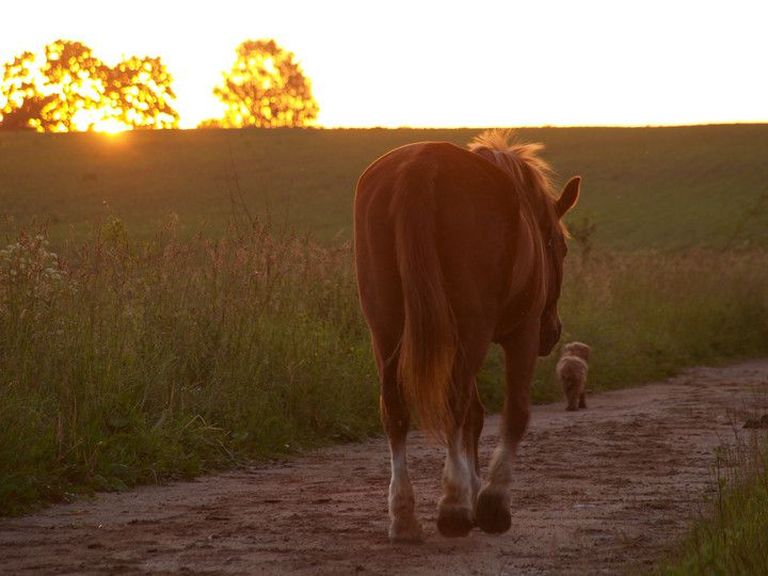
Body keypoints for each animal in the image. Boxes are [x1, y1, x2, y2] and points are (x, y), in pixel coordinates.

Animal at [356, 129, 580, 540]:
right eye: (561, 246)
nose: (552, 332)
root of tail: (422, 165)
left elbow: (475, 414)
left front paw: (476, 491)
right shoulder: (520, 335)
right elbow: (514, 412)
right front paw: (490, 502)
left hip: (386, 325)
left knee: (396, 406)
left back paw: (405, 515)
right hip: (473, 326)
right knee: (454, 401)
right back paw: (454, 506)